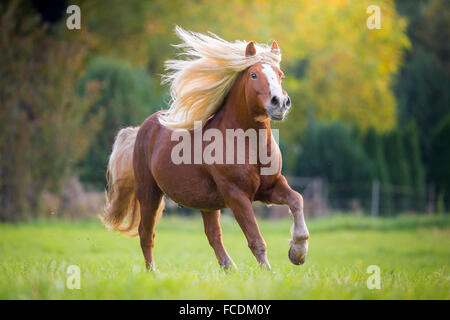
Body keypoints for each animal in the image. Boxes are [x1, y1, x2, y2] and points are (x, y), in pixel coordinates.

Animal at [101, 26, 310, 270]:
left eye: (280, 75)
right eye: (254, 75)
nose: (280, 102)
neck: (247, 144)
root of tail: (142, 129)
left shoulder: (270, 187)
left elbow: (297, 199)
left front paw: (297, 253)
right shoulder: (237, 195)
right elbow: (256, 239)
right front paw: (268, 272)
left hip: (206, 202)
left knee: (212, 235)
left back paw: (230, 270)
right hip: (149, 192)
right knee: (146, 233)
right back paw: (153, 272)